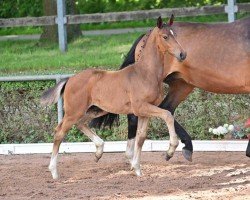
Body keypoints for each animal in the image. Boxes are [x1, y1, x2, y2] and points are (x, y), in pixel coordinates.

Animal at [40, 16, 186, 179]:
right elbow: (167, 115)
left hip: (96, 110)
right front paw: (170, 150)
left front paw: (137, 169)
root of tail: (70, 79)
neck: (146, 73)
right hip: (73, 112)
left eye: (175, 35)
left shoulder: (144, 112)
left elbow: (141, 137)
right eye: (165, 36)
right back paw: (54, 172)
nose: (182, 54)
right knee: (59, 132)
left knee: (81, 123)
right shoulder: (141, 107)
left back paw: (99, 151)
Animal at [91, 16, 250, 160]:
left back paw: (183, 148)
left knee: (167, 108)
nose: (182, 54)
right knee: (137, 114)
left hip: (182, 85)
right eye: (166, 37)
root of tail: (147, 34)